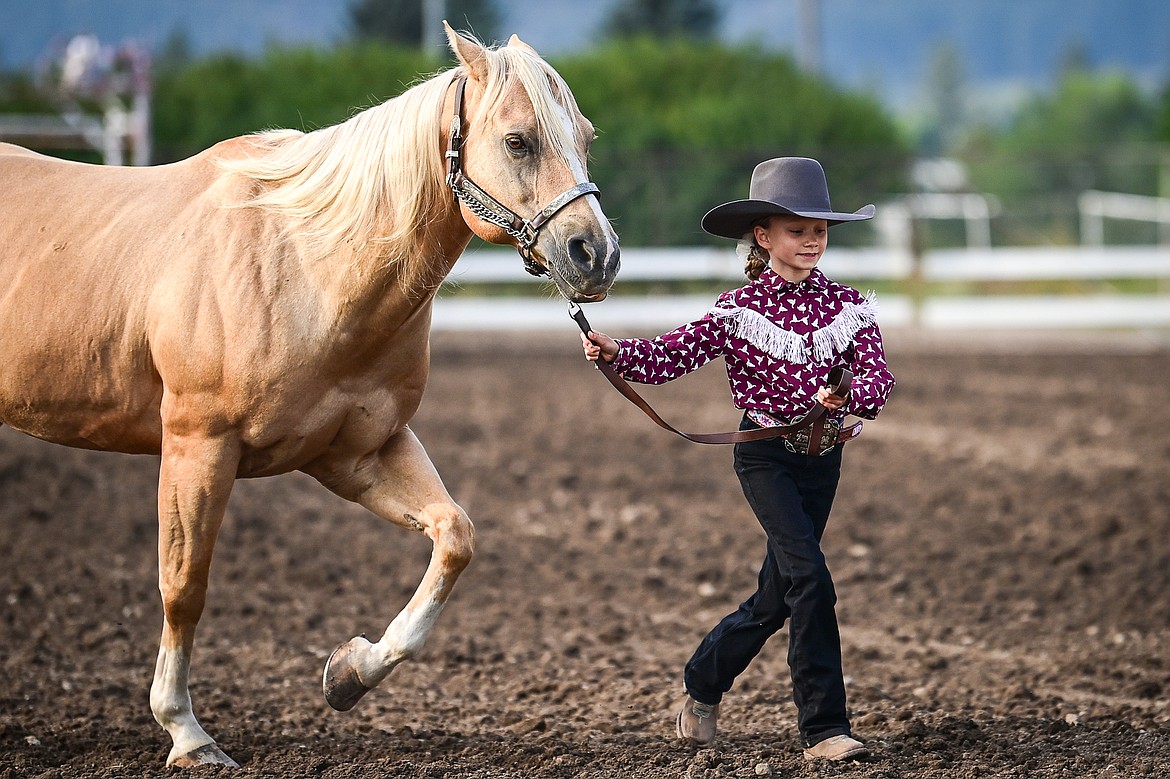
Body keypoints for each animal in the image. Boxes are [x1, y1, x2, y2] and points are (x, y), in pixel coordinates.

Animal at [0, 24, 622, 762]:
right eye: (519, 140)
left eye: (585, 137)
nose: (597, 255)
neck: (304, 265)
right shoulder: (197, 448)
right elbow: (184, 586)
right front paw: (186, 730)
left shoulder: (358, 454)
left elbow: (454, 536)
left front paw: (349, 671)